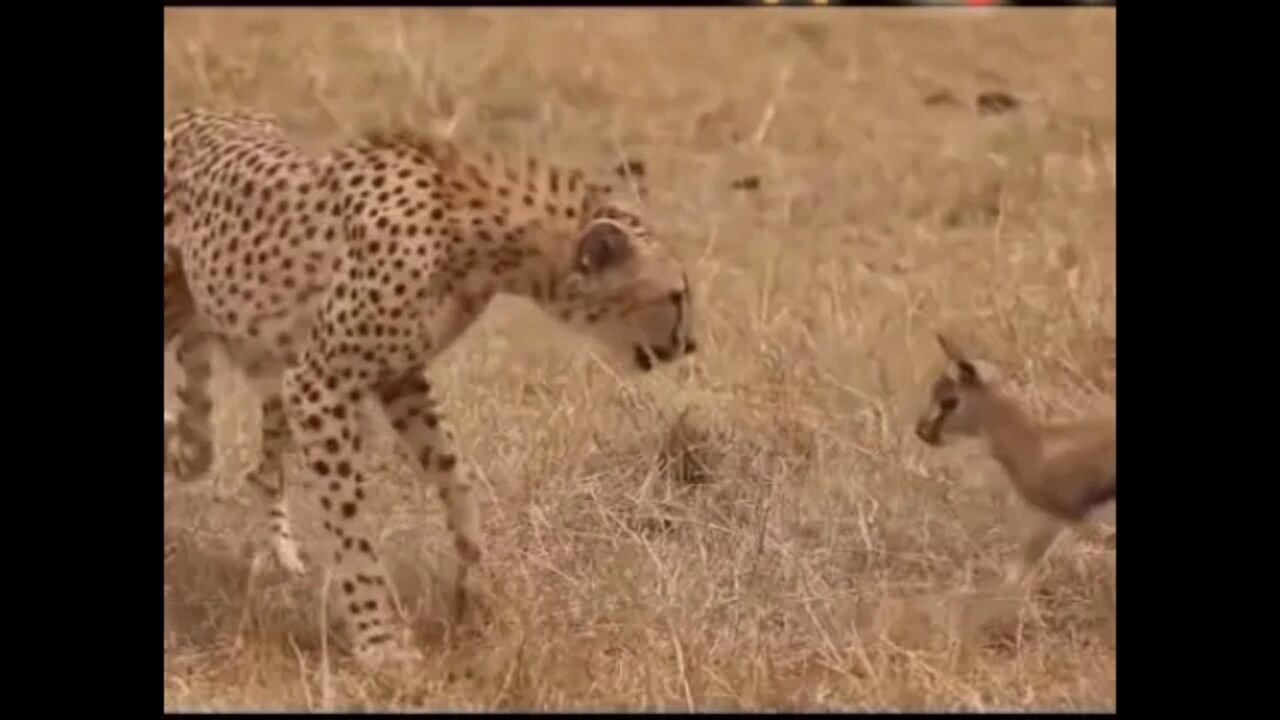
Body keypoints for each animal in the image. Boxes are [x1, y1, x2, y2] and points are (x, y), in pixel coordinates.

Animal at [163, 107, 701, 666]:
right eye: (675, 295)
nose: (689, 345)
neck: (488, 244)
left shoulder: (397, 377)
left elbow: (453, 472)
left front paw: (473, 586)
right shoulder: (321, 383)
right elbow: (351, 525)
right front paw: (380, 640)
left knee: (251, 466)